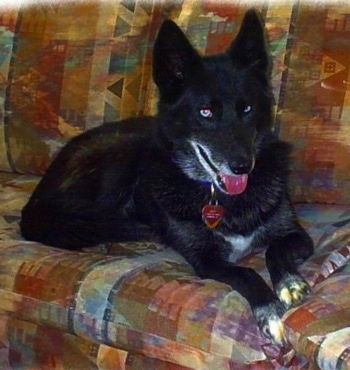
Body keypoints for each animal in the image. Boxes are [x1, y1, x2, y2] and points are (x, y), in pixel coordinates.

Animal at [20, 10, 314, 346]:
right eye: (205, 112)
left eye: (248, 108)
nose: (243, 167)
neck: (220, 196)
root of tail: (36, 200)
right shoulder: (206, 259)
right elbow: (246, 273)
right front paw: (270, 311)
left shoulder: (295, 233)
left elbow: (275, 249)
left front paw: (290, 283)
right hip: (120, 157)